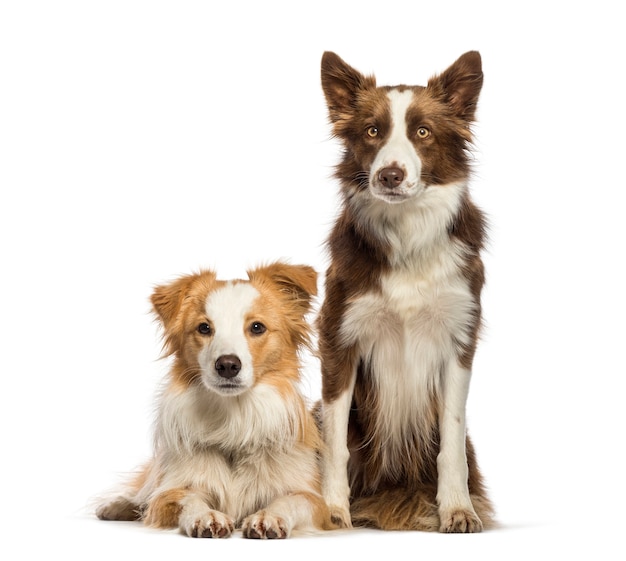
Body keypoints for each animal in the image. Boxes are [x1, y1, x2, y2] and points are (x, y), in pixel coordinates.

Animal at [94, 262, 334, 540]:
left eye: (257, 327)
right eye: (204, 328)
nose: (227, 365)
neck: (235, 420)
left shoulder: (312, 498)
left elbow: (291, 500)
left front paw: (269, 516)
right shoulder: (172, 488)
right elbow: (184, 499)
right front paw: (206, 515)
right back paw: (117, 505)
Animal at [316, 50, 492, 532]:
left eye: (423, 132)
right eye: (372, 131)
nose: (390, 176)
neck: (407, 233)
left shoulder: (459, 340)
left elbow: (450, 440)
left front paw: (457, 509)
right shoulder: (339, 339)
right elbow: (335, 443)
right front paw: (333, 509)